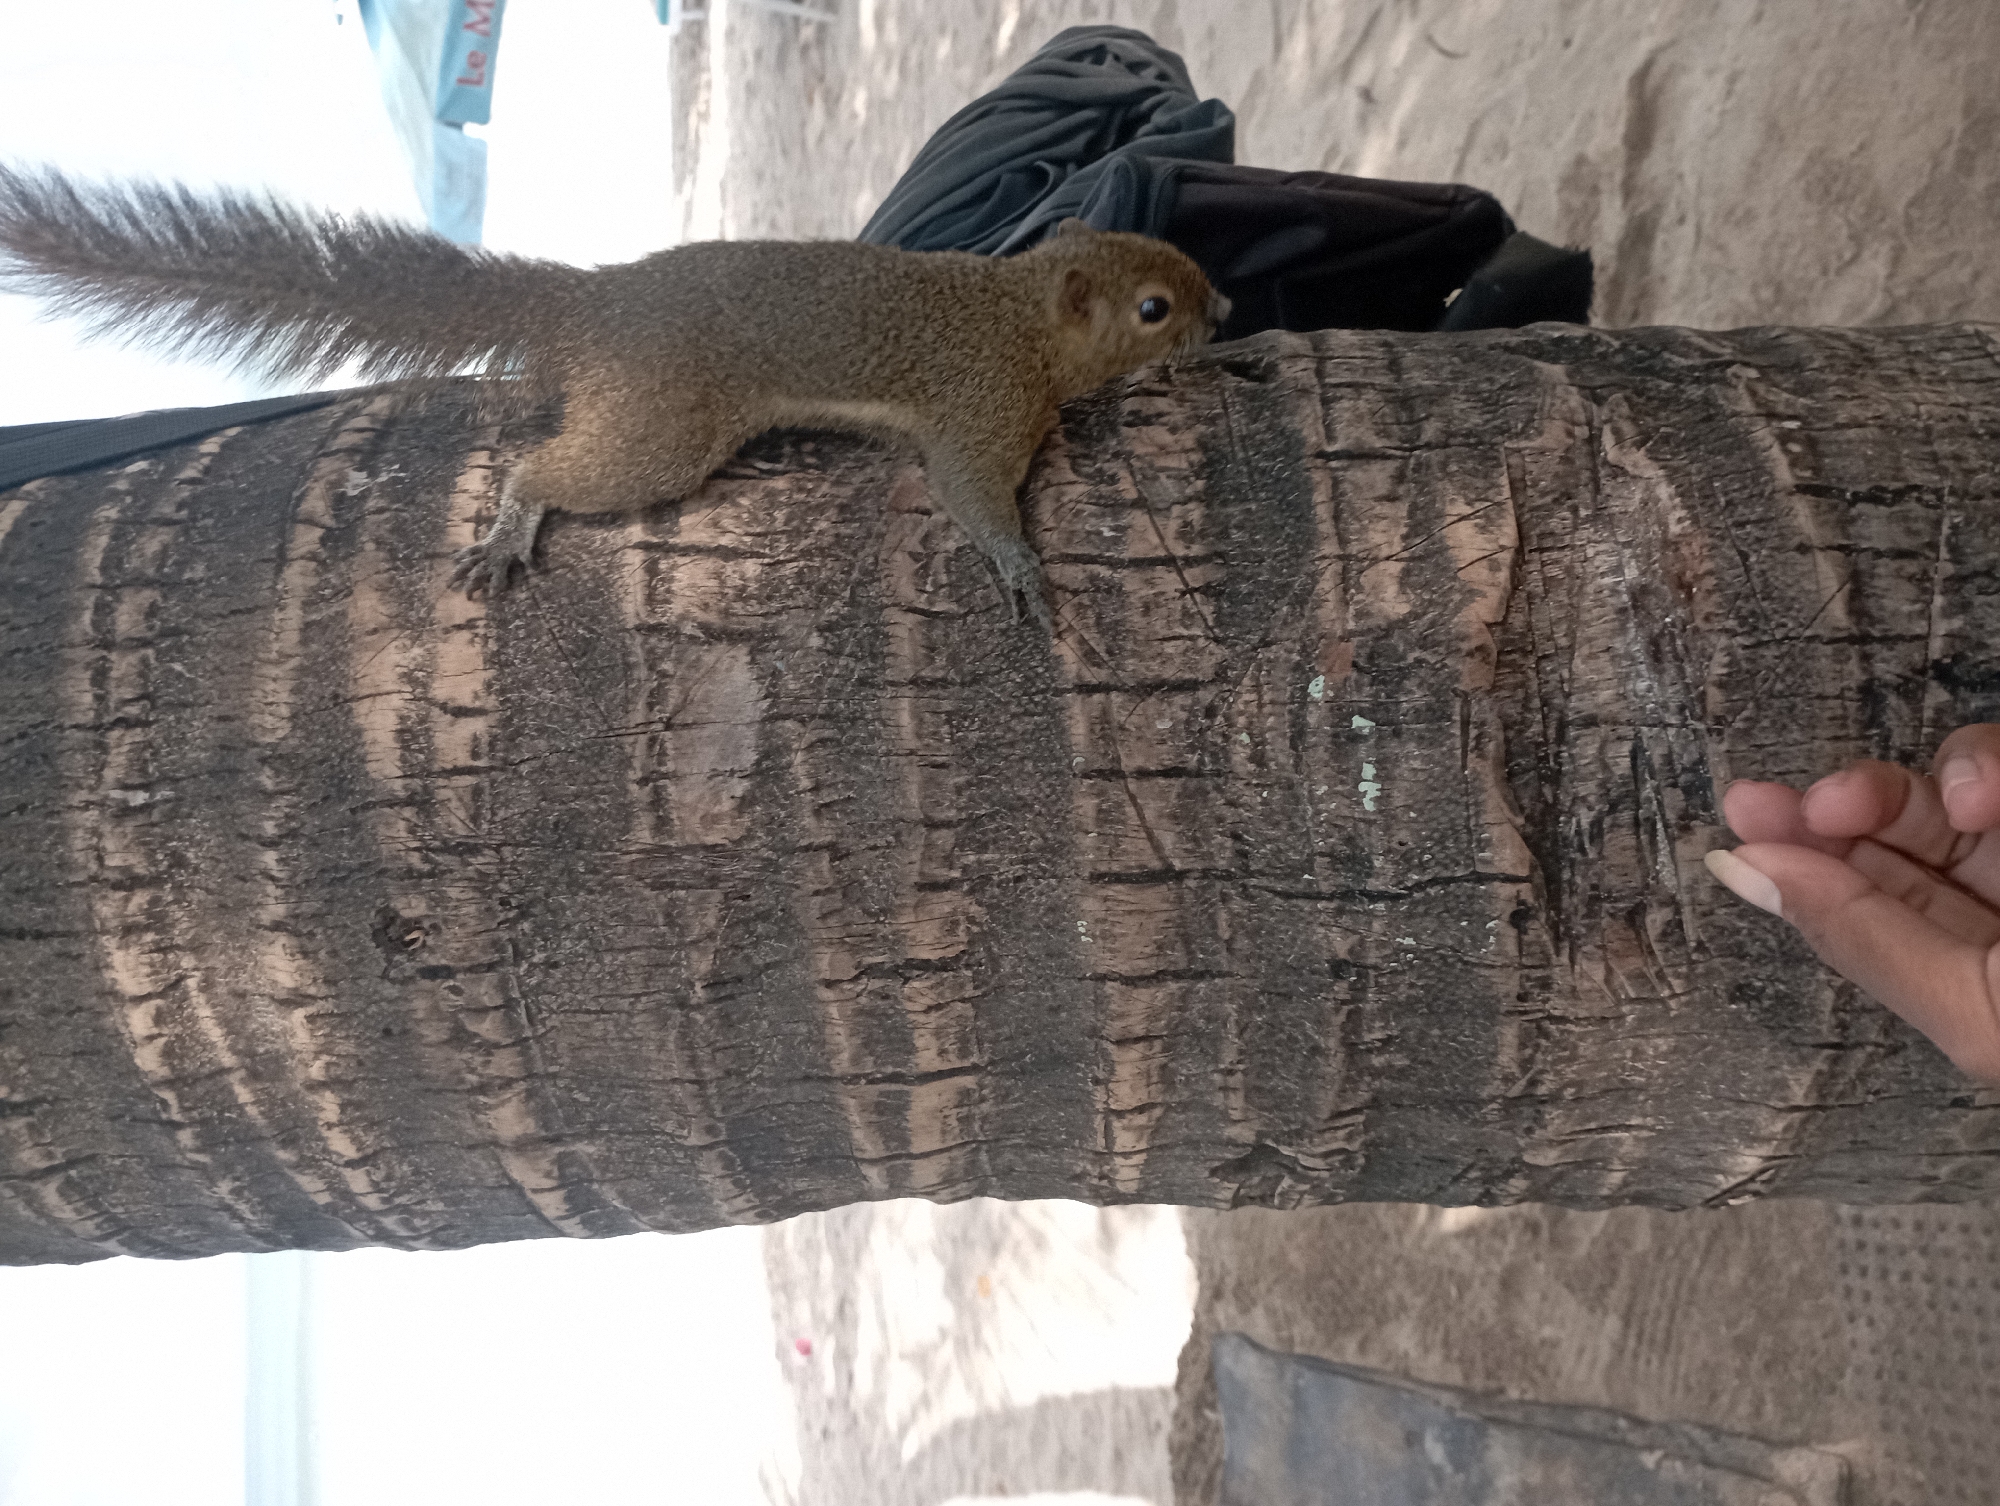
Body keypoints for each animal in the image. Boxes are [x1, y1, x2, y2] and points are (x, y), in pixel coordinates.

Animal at [0, 165, 1227, 626]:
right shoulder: (978, 411)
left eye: (1178, 260)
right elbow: (971, 496)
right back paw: (509, 525)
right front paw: (1021, 571)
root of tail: (591, 307)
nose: (1220, 308)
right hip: (661, 429)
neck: (1021, 319)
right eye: (1152, 305)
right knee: (546, 466)